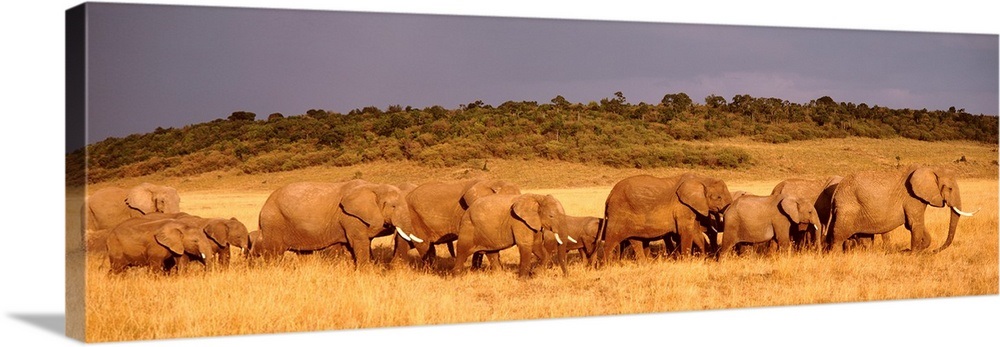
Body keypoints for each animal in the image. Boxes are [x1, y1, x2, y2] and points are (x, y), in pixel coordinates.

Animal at [252, 179, 412, 266]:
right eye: (393, 206)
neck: (374, 187)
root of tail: (263, 207)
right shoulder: (350, 217)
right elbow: (359, 242)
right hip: (274, 223)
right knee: (274, 253)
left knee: (303, 253)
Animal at [592, 173, 736, 266]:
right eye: (718, 197)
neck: (702, 178)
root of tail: (609, 195)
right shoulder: (682, 206)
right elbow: (686, 232)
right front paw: (686, 262)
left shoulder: (691, 207)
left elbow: (695, 232)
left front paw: (703, 259)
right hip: (619, 214)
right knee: (612, 239)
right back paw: (605, 267)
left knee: (635, 240)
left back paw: (646, 264)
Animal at [824, 166, 980, 253]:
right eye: (950, 188)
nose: (935, 251)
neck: (931, 168)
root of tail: (837, 189)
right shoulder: (912, 197)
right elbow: (914, 224)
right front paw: (913, 254)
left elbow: (913, 224)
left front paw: (913, 251)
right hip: (848, 208)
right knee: (839, 236)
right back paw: (836, 255)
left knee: (865, 239)